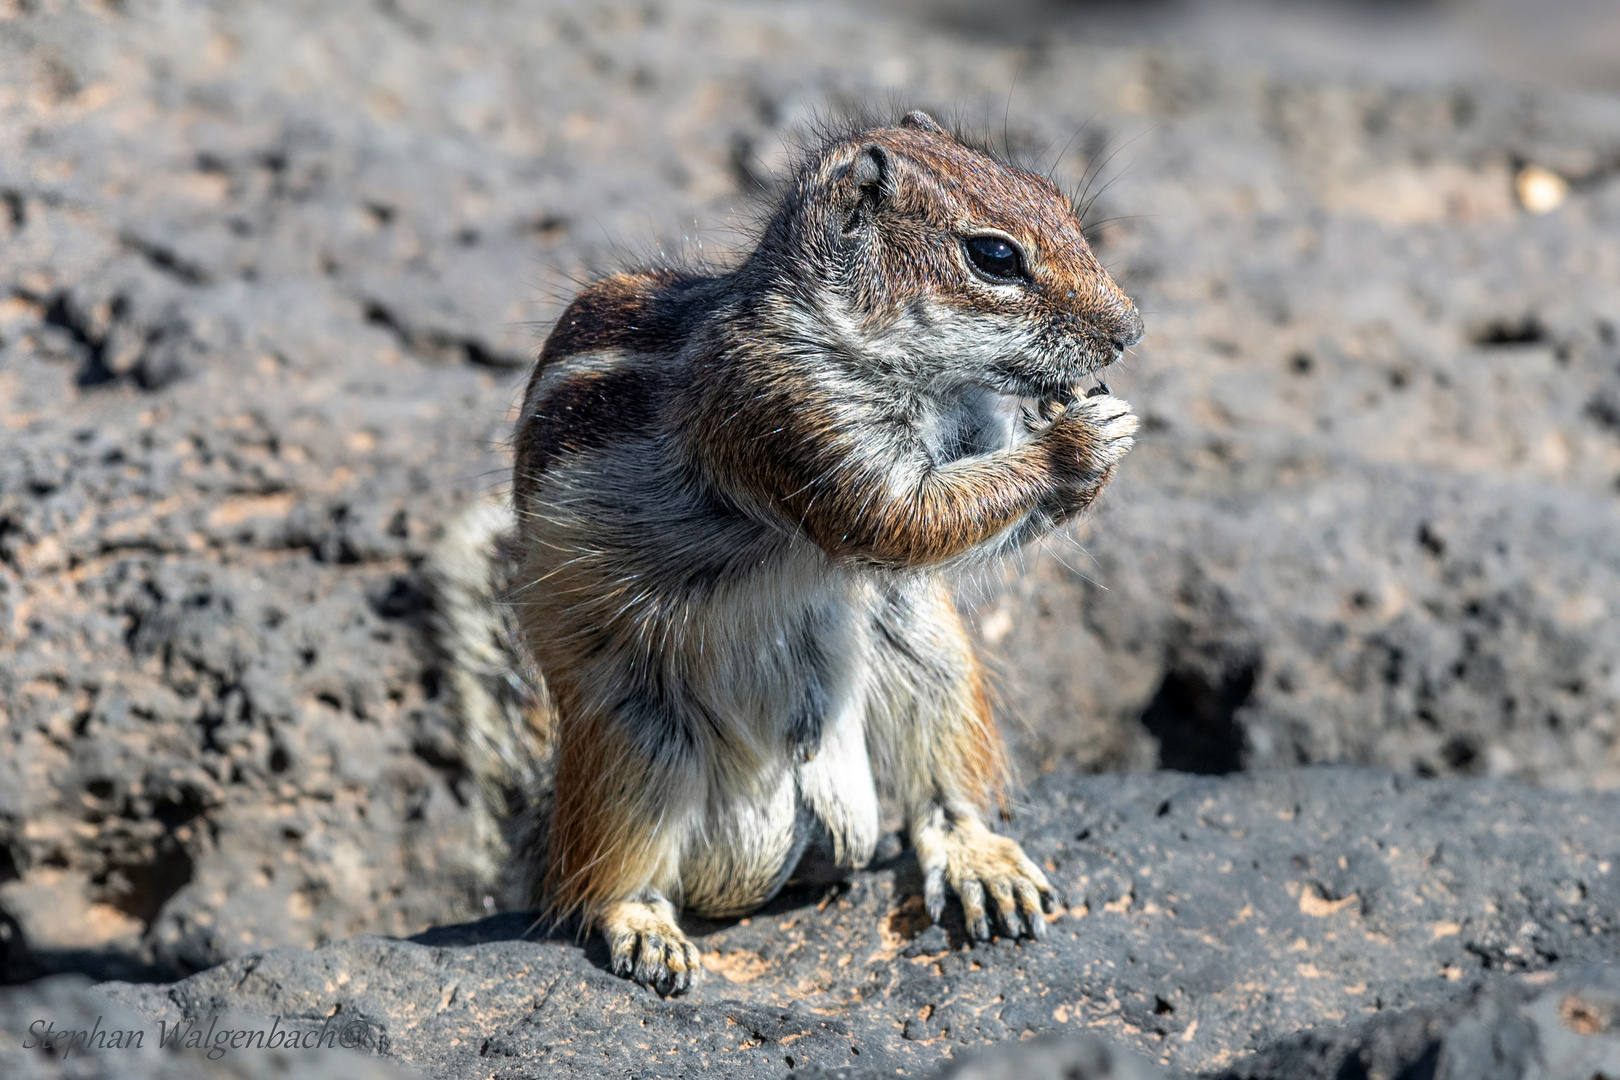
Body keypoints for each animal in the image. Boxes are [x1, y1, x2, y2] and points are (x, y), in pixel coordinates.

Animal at [430, 110, 1140, 997]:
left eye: (1060, 203)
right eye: (995, 257)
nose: (1129, 331)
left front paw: (1083, 420)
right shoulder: (786, 418)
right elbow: (903, 518)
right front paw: (1079, 442)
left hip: (929, 657)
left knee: (939, 789)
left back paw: (980, 859)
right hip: (632, 738)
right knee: (601, 876)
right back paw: (643, 926)